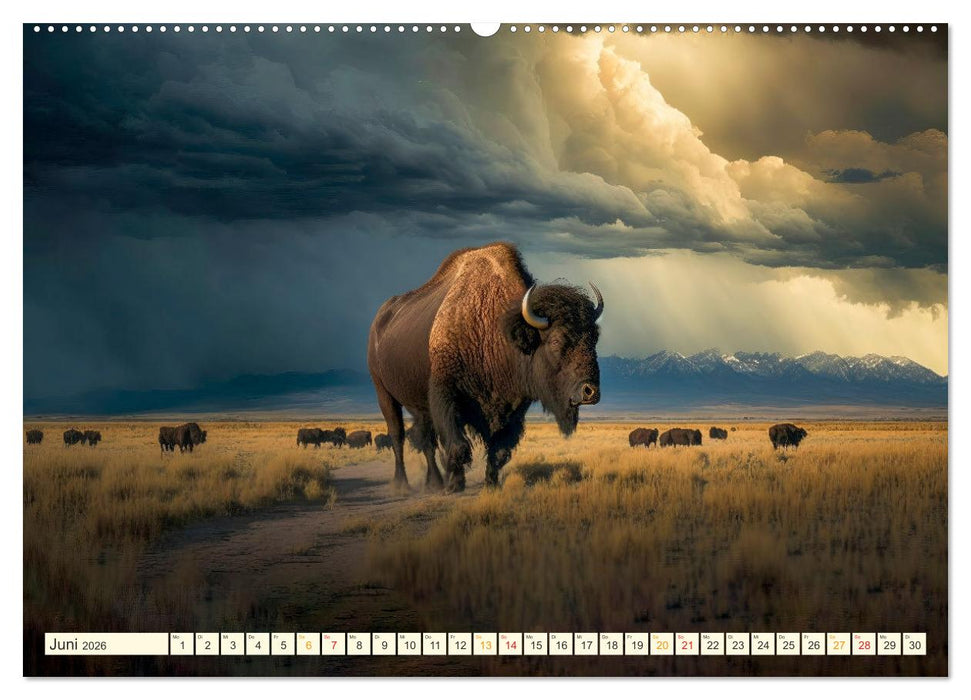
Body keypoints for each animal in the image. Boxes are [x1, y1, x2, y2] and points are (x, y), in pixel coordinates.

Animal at [368, 242, 603, 492]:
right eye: (556, 341)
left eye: (594, 339)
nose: (590, 392)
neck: (496, 330)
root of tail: (378, 323)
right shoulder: (445, 395)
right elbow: (458, 446)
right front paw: (455, 484)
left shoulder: (511, 410)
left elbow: (498, 451)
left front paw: (491, 484)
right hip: (384, 393)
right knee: (398, 435)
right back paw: (403, 483)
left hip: (417, 404)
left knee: (426, 440)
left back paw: (435, 482)